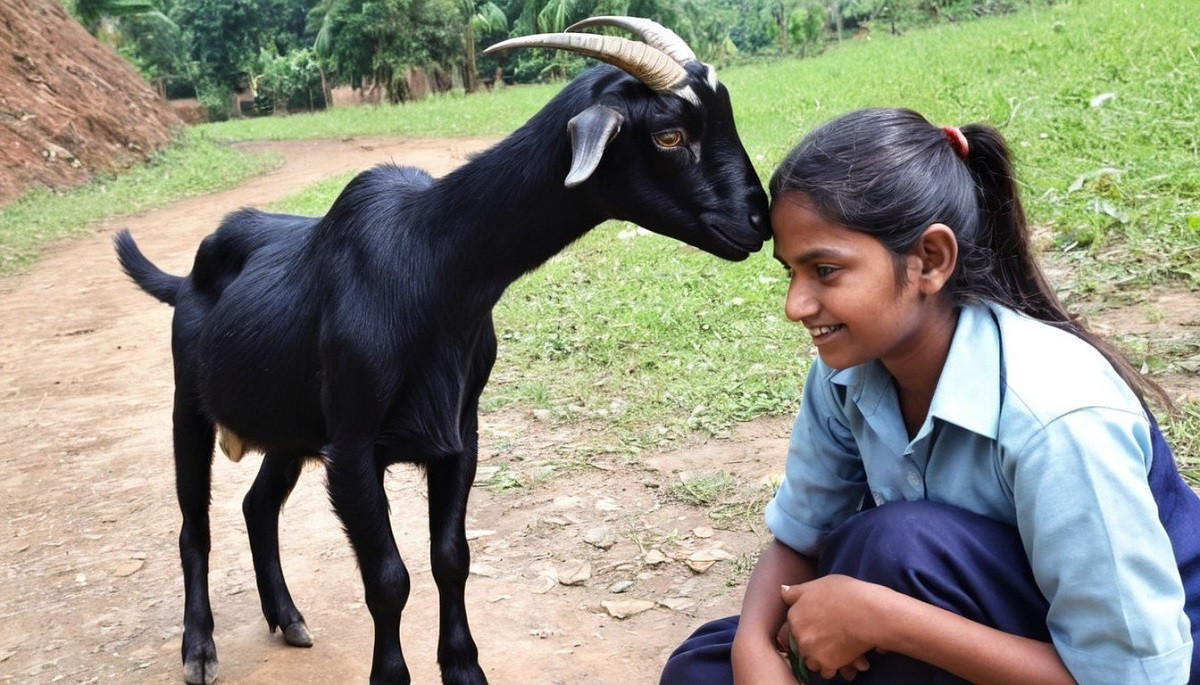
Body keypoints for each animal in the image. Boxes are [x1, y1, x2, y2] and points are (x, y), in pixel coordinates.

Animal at [114, 14, 768, 685]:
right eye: (669, 135)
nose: (757, 219)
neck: (433, 261)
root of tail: (184, 279)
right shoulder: (353, 446)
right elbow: (388, 579)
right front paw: (391, 676)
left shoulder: (459, 435)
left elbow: (451, 558)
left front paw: (464, 668)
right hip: (190, 406)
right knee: (194, 527)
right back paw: (199, 649)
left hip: (290, 428)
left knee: (256, 505)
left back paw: (288, 617)